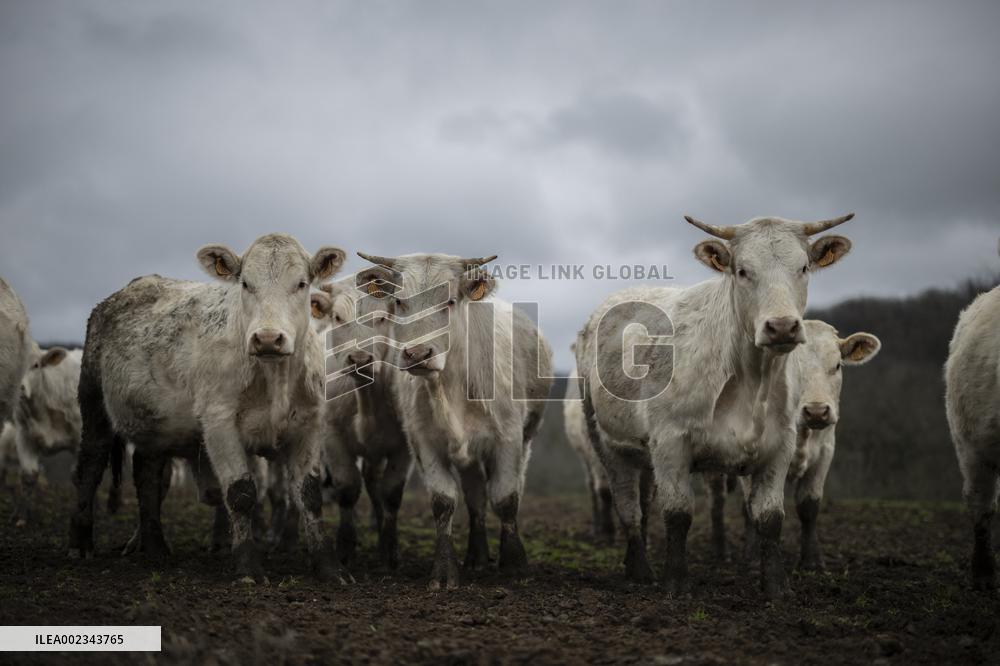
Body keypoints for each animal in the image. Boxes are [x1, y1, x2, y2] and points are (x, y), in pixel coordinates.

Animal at [10, 345, 83, 526]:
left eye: (36, 365)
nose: (20, 388)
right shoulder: (23, 436)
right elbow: (29, 475)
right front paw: (21, 516)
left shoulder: (80, 441)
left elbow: (79, 476)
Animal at [68, 233, 347, 583]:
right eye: (245, 283)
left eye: (301, 283)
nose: (268, 338)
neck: (274, 377)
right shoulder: (219, 424)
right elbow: (240, 494)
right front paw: (248, 566)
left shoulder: (309, 426)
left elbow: (309, 495)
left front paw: (328, 567)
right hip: (94, 405)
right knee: (90, 467)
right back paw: (81, 544)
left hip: (155, 427)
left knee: (147, 476)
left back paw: (156, 547)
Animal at [355, 252, 553, 589]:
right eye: (399, 302)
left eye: (448, 301)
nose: (417, 354)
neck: (451, 384)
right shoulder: (425, 443)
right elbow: (444, 502)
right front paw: (445, 570)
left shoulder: (508, 438)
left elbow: (506, 498)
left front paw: (515, 566)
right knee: (476, 497)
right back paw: (477, 557)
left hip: (525, 438)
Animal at [576, 214, 855, 597]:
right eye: (742, 270)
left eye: (802, 267)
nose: (782, 326)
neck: (749, 377)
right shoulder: (670, 442)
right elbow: (678, 514)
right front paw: (676, 583)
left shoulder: (778, 446)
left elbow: (770, 517)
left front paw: (777, 587)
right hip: (605, 443)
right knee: (628, 506)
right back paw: (640, 569)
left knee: (643, 503)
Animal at [708, 321, 881, 568]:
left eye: (837, 365)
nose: (816, 411)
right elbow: (752, 507)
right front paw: (753, 556)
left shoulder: (825, 452)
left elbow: (809, 506)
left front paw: (812, 560)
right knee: (717, 500)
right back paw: (721, 551)